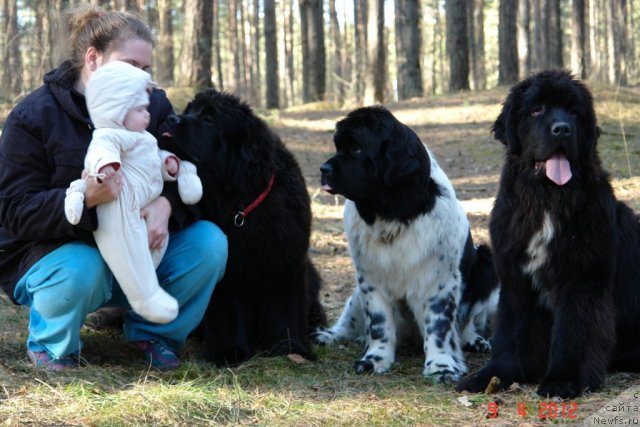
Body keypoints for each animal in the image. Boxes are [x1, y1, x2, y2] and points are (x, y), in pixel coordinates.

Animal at [158, 88, 328, 366]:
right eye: (188, 111)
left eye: (208, 119)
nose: (170, 119)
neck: (241, 204)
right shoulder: (229, 274)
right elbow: (228, 314)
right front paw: (230, 351)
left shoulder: (286, 263)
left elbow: (287, 311)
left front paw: (291, 348)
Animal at [316, 108, 500, 384]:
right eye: (338, 146)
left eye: (357, 148)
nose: (323, 169)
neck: (394, 214)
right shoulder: (370, 279)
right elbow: (379, 323)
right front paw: (375, 359)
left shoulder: (440, 281)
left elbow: (440, 326)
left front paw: (441, 366)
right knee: (349, 320)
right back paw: (328, 335)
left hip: (486, 264)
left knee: (465, 324)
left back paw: (474, 340)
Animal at [458, 68, 640, 400]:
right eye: (537, 109)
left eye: (574, 111)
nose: (562, 130)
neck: (546, 201)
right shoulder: (516, 281)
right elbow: (514, 333)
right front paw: (493, 375)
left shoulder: (582, 280)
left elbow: (575, 331)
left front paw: (563, 380)